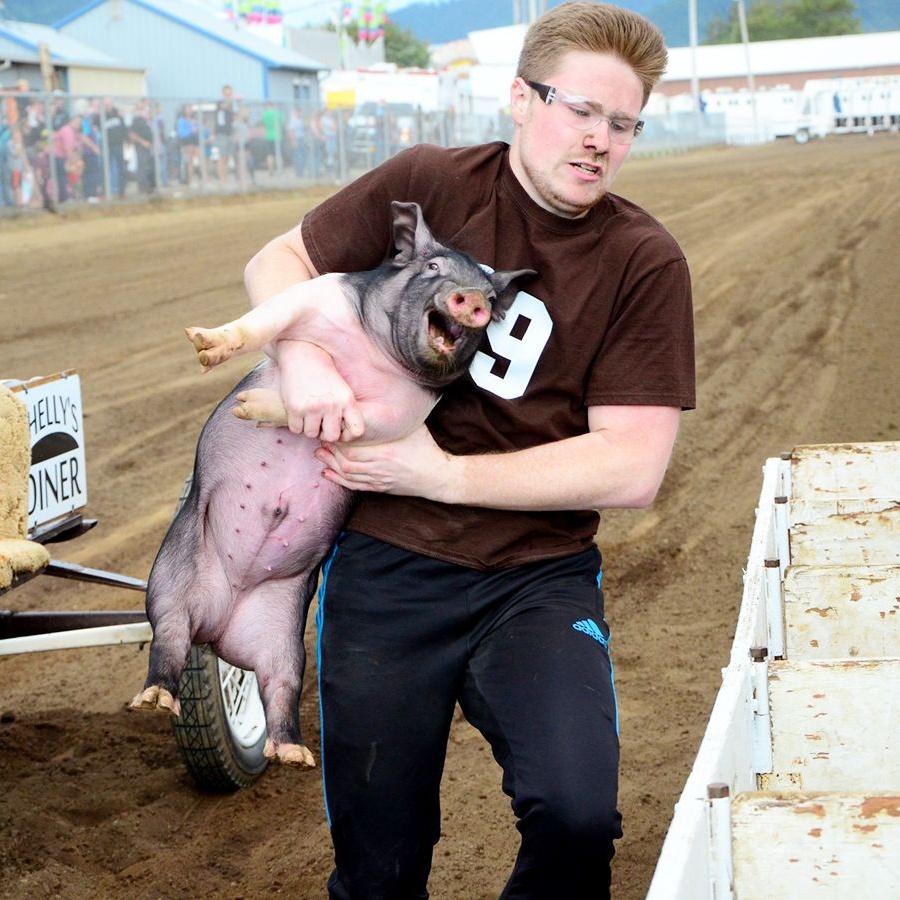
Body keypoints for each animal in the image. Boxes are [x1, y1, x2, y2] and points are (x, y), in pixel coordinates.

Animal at [127, 202, 536, 768]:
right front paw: (211, 355)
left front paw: (254, 408)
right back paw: (153, 699)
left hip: (283, 632)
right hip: (170, 579)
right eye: (433, 267)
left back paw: (295, 755)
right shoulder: (312, 298)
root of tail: (219, 624)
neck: (377, 356)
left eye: (492, 298)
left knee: (280, 684)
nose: (472, 298)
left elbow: (350, 418)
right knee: (166, 637)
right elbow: (264, 325)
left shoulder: (402, 413)